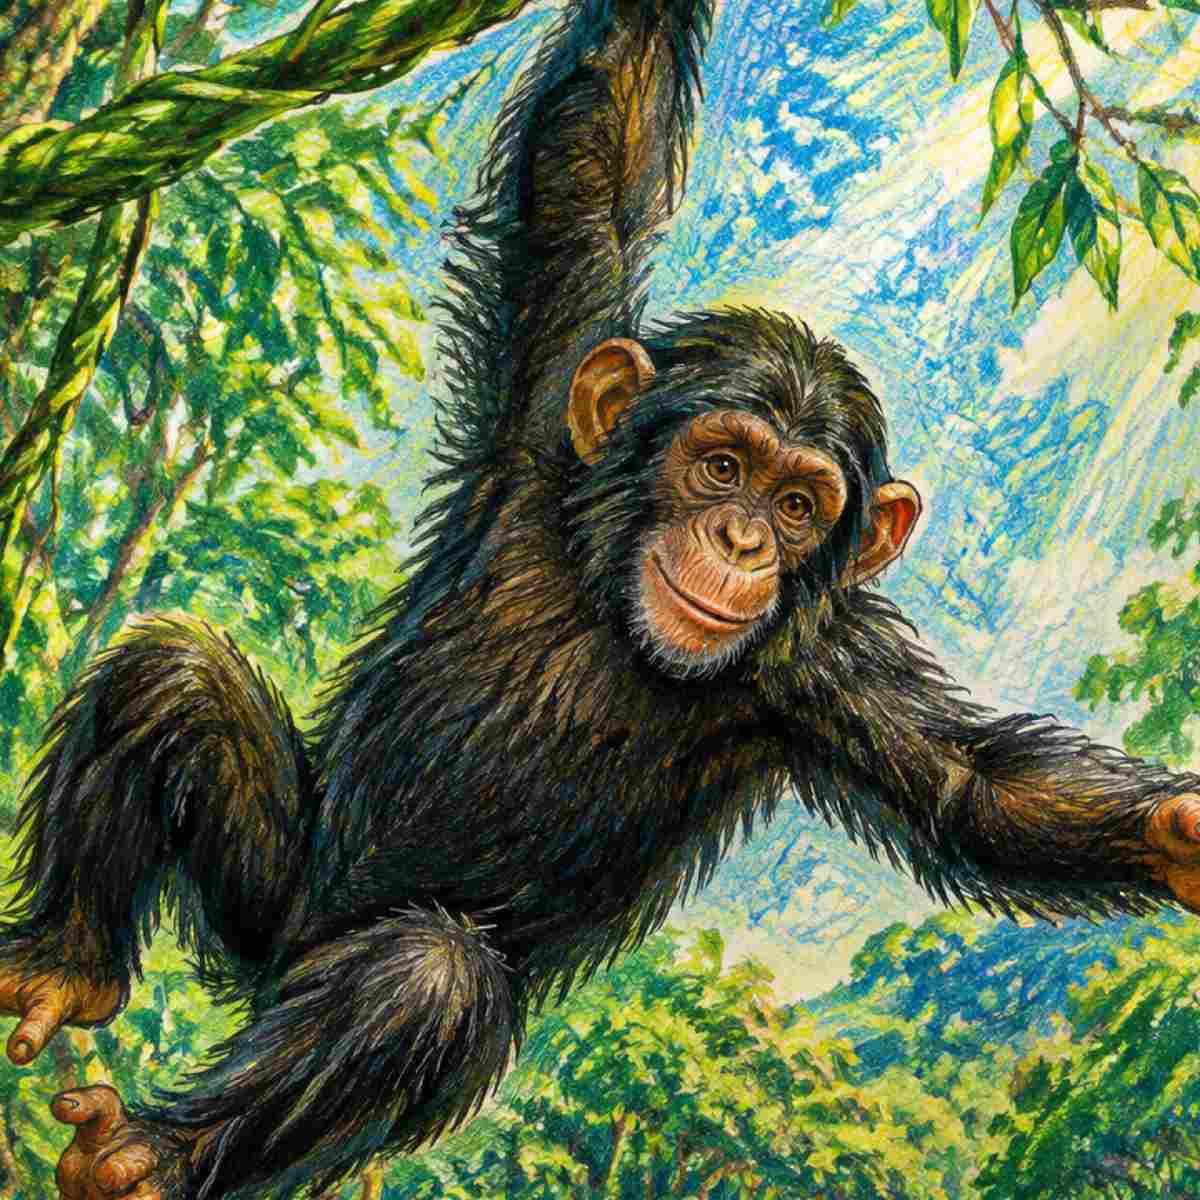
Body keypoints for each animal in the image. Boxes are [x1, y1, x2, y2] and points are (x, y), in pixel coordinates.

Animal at [4, 0, 1200, 1197]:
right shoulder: (547, 409)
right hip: (270, 883)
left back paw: (155, 1150)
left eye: (800, 504)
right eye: (721, 465)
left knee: (425, 976)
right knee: (176, 679)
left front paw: (1169, 832)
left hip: (298, 954)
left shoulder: (823, 672)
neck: (613, 610)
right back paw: (68, 970)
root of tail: (274, 968)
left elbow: (973, 788)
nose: (741, 539)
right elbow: (592, 147)